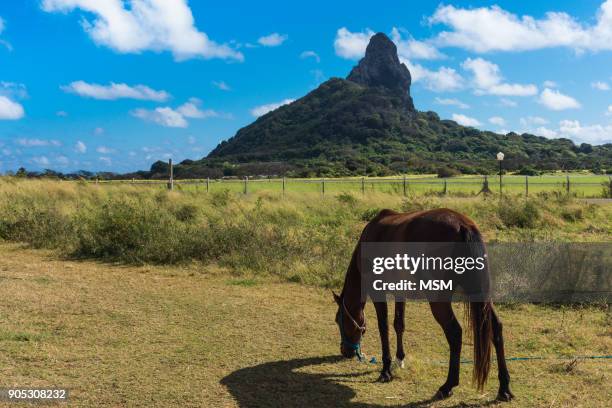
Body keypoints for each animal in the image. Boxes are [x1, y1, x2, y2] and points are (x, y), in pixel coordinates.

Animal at [332, 209, 512, 400]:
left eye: (338, 320)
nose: (345, 351)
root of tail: (462, 225)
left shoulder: (378, 292)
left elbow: (383, 328)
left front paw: (386, 370)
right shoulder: (399, 291)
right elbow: (399, 325)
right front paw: (400, 359)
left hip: (440, 301)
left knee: (455, 333)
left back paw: (448, 385)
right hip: (480, 296)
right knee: (496, 328)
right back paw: (504, 388)